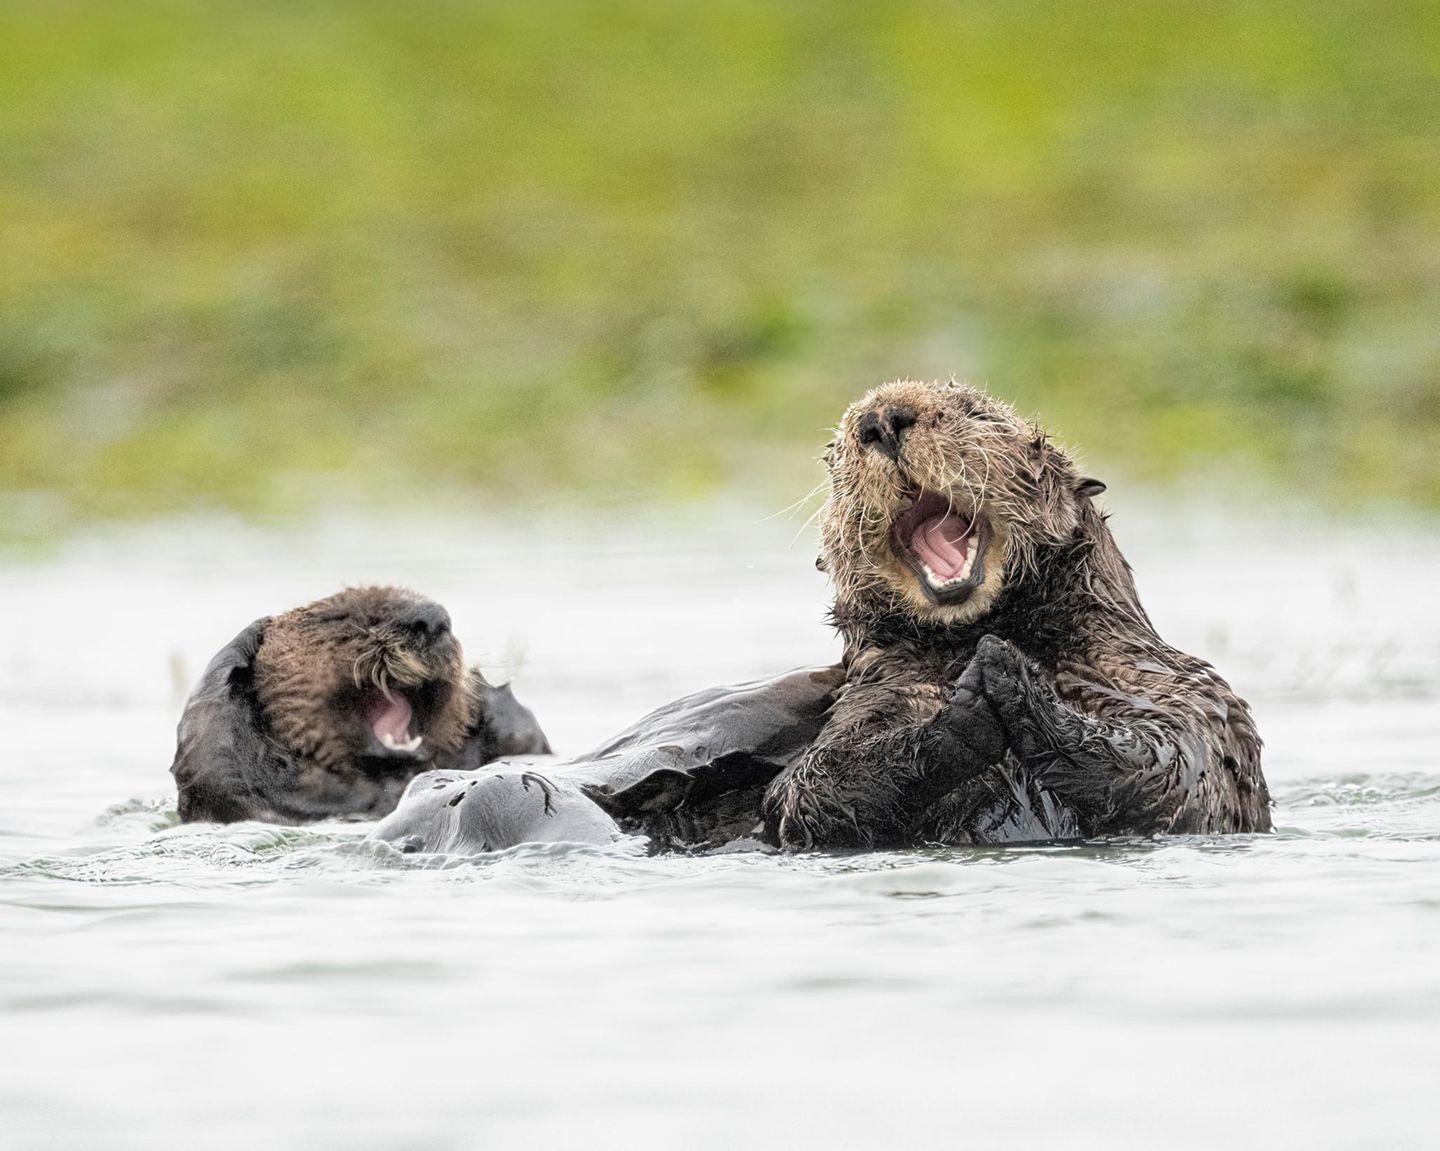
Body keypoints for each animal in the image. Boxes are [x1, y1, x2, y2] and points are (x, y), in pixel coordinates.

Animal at [762, 379, 1271, 849]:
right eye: (835, 460)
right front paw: (963, 713)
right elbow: (811, 791)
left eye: (975, 412)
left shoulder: (1165, 686)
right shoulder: (878, 695)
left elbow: (1179, 765)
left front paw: (1011, 676)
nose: (883, 419)